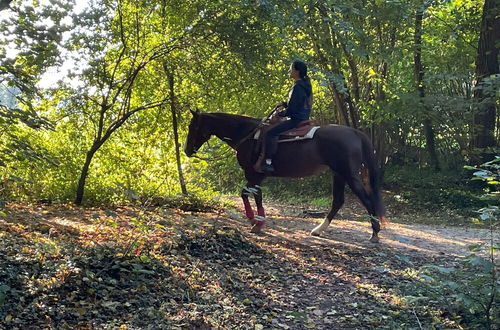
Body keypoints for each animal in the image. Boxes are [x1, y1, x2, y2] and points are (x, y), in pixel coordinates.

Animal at [184, 110, 386, 242]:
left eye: (193, 126)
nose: (186, 150)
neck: (248, 135)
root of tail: (355, 133)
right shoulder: (257, 176)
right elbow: (253, 194)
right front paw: (256, 220)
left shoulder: (253, 173)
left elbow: (248, 194)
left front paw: (255, 221)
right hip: (338, 174)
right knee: (338, 201)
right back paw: (319, 230)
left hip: (349, 175)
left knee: (366, 199)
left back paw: (375, 233)